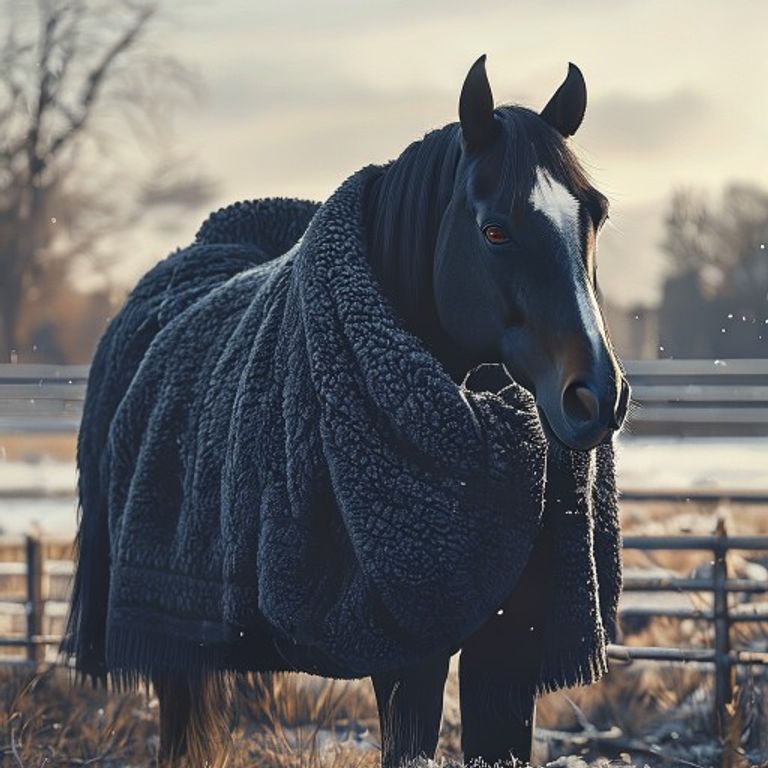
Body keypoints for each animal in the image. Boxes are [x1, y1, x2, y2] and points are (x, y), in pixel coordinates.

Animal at [65, 55, 628, 767]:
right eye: (494, 229)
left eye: (596, 215)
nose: (597, 395)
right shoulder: (406, 654)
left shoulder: (509, 652)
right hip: (171, 645)